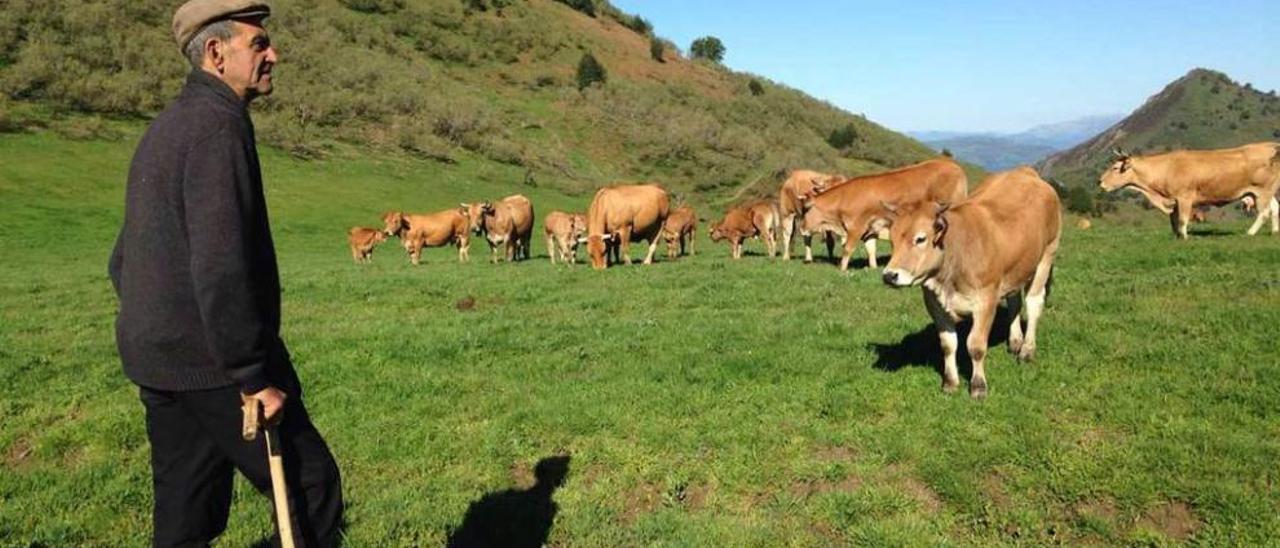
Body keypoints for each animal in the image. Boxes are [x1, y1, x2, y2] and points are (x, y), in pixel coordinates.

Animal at [798, 157, 967, 270]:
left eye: (805, 209)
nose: (801, 228)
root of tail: (954, 166)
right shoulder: (870, 229)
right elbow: (870, 249)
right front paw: (872, 267)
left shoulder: (856, 227)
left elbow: (848, 249)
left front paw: (842, 269)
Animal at [880, 166, 1059, 396]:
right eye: (892, 240)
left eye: (920, 238)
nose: (889, 275)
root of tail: (1025, 171)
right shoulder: (935, 303)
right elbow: (948, 344)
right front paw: (950, 382)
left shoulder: (986, 301)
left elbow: (975, 345)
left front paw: (978, 386)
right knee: (1014, 301)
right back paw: (1015, 341)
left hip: (1047, 254)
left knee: (1034, 302)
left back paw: (1027, 350)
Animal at [1100, 143, 1280, 238]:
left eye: (1115, 168)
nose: (1100, 181)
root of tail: (1269, 145)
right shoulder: (1173, 200)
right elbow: (1173, 219)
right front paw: (1177, 236)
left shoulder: (1184, 198)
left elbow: (1182, 219)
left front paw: (1185, 237)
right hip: (1264, 192)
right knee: (1275, 209)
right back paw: (1274, 231)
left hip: (1262, 191)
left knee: (1264, 213)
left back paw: (1250, 233)